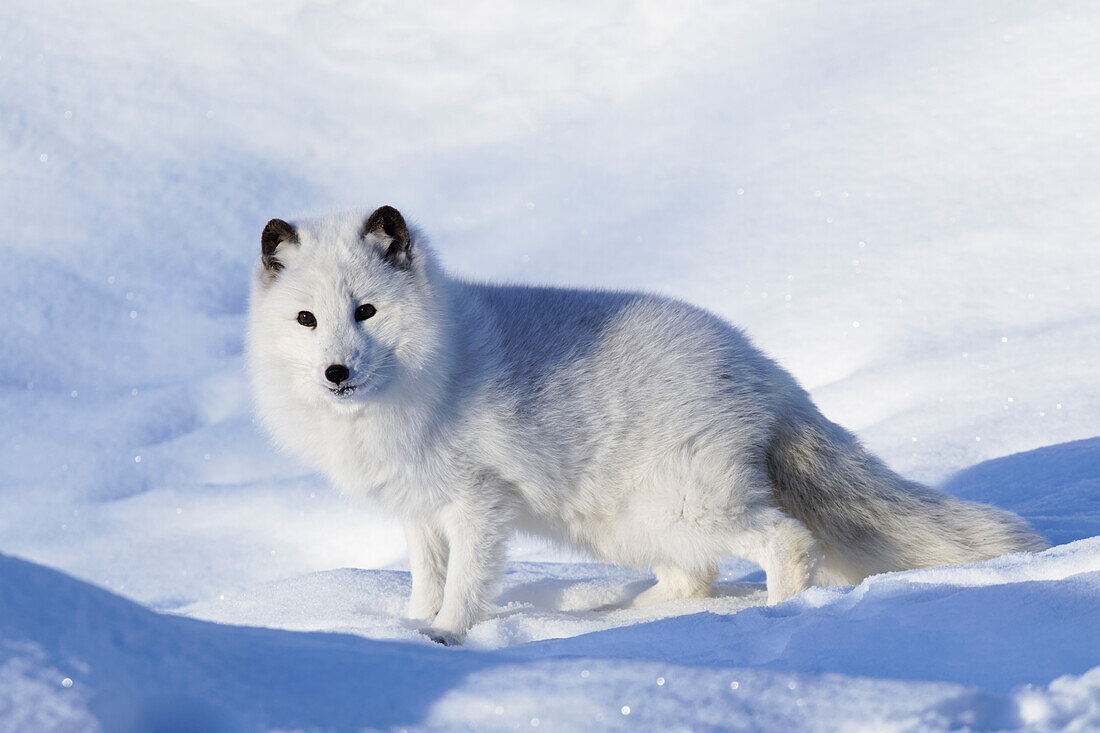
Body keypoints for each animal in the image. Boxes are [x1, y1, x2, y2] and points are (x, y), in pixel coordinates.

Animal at [249, 203, 1047, 638]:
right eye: (307, 319)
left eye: (366, 311)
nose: (336, 372)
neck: (433, 369)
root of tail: (762, 366)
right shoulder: (420, 510)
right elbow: (426, 577)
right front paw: (406, 627)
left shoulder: (478, 504)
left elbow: (466, 583)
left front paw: (447, 636)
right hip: (634, 524)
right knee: (692, 580)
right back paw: (618, 615)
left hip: (688, 506)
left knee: (787, 540)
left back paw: (773, 615)